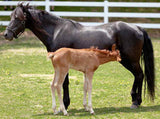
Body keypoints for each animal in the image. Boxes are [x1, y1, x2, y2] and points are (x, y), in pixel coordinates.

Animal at [4, 3, 155, 109]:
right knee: (138, 76)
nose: (6, 34)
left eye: (17, 18)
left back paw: (136, 102)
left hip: (131, 60)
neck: (56, 31)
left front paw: (65, 105)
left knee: (139, 75)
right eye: (11, 16)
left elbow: (64, 83)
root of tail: (137, 28)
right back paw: (135, 100)